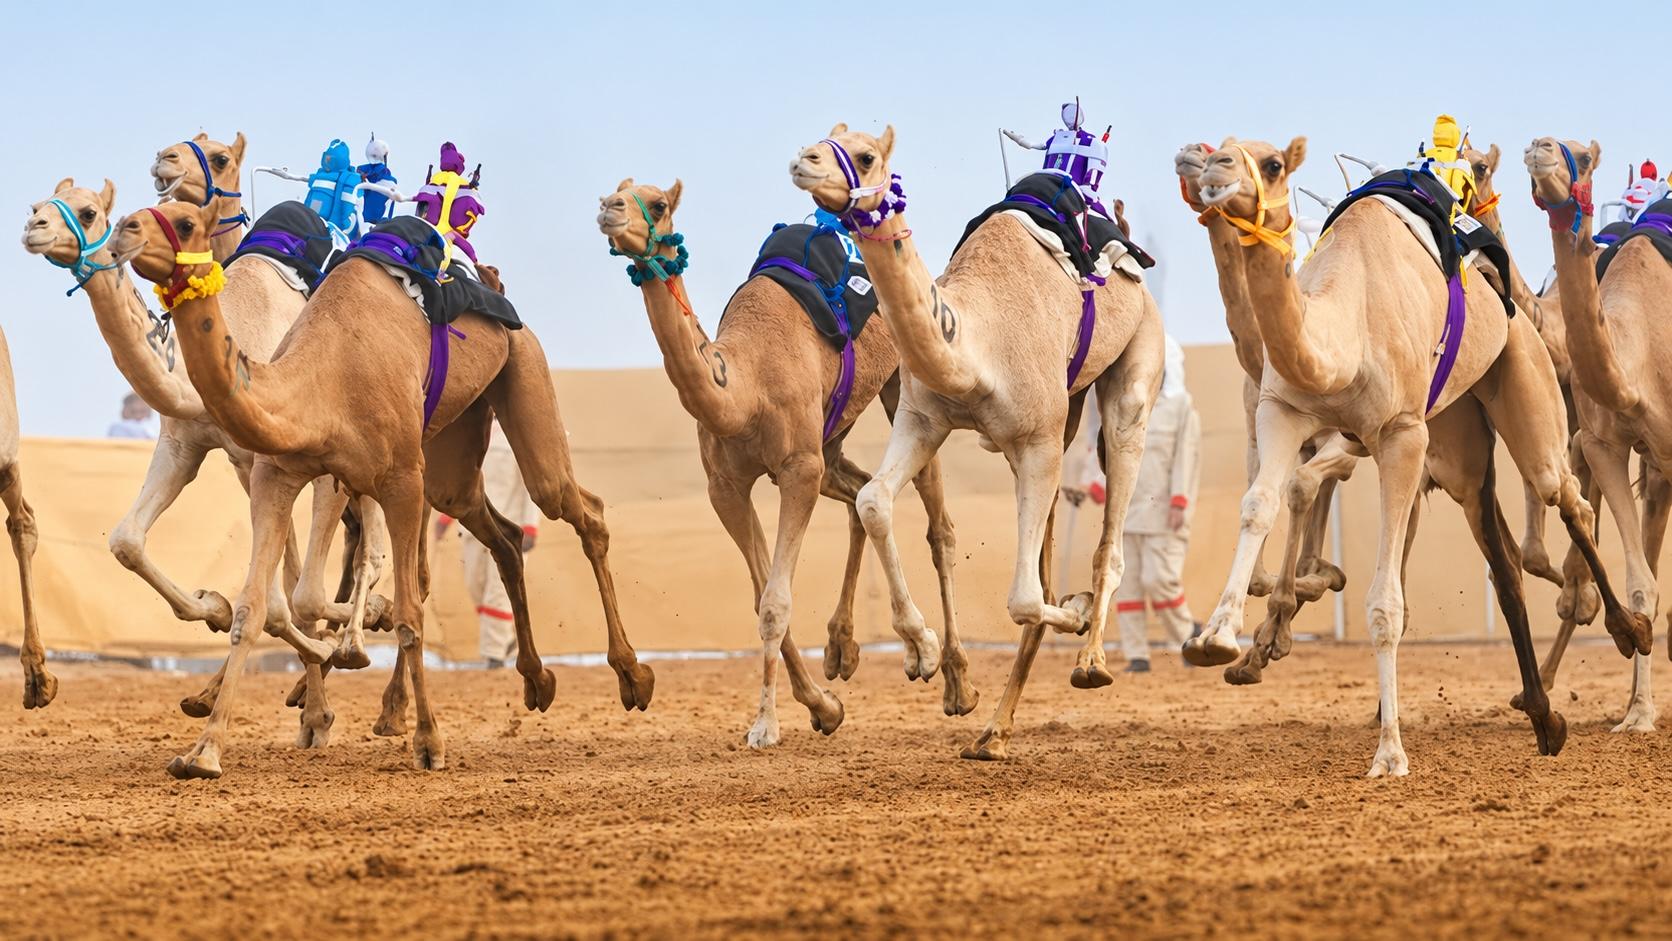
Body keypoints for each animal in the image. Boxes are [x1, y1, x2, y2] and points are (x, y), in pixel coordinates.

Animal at [112, 199, 653, 778]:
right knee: (503, 535)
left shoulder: (398, 480)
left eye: (186, 221)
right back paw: (536, 679)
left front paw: (429, 741)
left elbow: (407, 613)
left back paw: (632, 676)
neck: (321, 382)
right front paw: (204, 750)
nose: (123, 230)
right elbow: (253, 609)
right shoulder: (276, 475)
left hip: (521, 374)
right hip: (451, 456)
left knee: (580, 508)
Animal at [596, 180, 969, 745]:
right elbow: (761, 596)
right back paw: (843, 648)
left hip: (901, 383)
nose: (609, 209)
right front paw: (824, 706)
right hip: (831, 437)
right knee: (859, 492)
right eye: (616, 190)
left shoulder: (797, 468)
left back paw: (950, 676)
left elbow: (775, 602)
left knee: (937, 524)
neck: (743, 387)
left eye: (657, 203)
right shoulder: (726, 486)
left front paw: (766, 725)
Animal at [791, 124, 1164, 760]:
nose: (804, 161)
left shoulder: (1034, 438)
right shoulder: (924, 419)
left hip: (1135, 368)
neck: (973, 346)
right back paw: (992, 733)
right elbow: (873, 501)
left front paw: (1075, 613)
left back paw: (1091, 659)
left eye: (866, 155)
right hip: (1067, 414)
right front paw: (919, 649)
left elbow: (1021, 598)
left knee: (1108, 533)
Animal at [1185, 135, 1645, 775]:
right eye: (1220, 149)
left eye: (1273, 163)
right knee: (1503, 556)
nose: (1215, 169)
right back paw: (1545, 717)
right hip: (1458, 436)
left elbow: (1386, 602)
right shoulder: (1282, 410)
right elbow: (1258, 505)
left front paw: (1390, 754)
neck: (1343, 332)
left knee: (1564, 494)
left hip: (1518, 377)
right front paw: (1217, 637)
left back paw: (1629, 631)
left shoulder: (1401, 435)